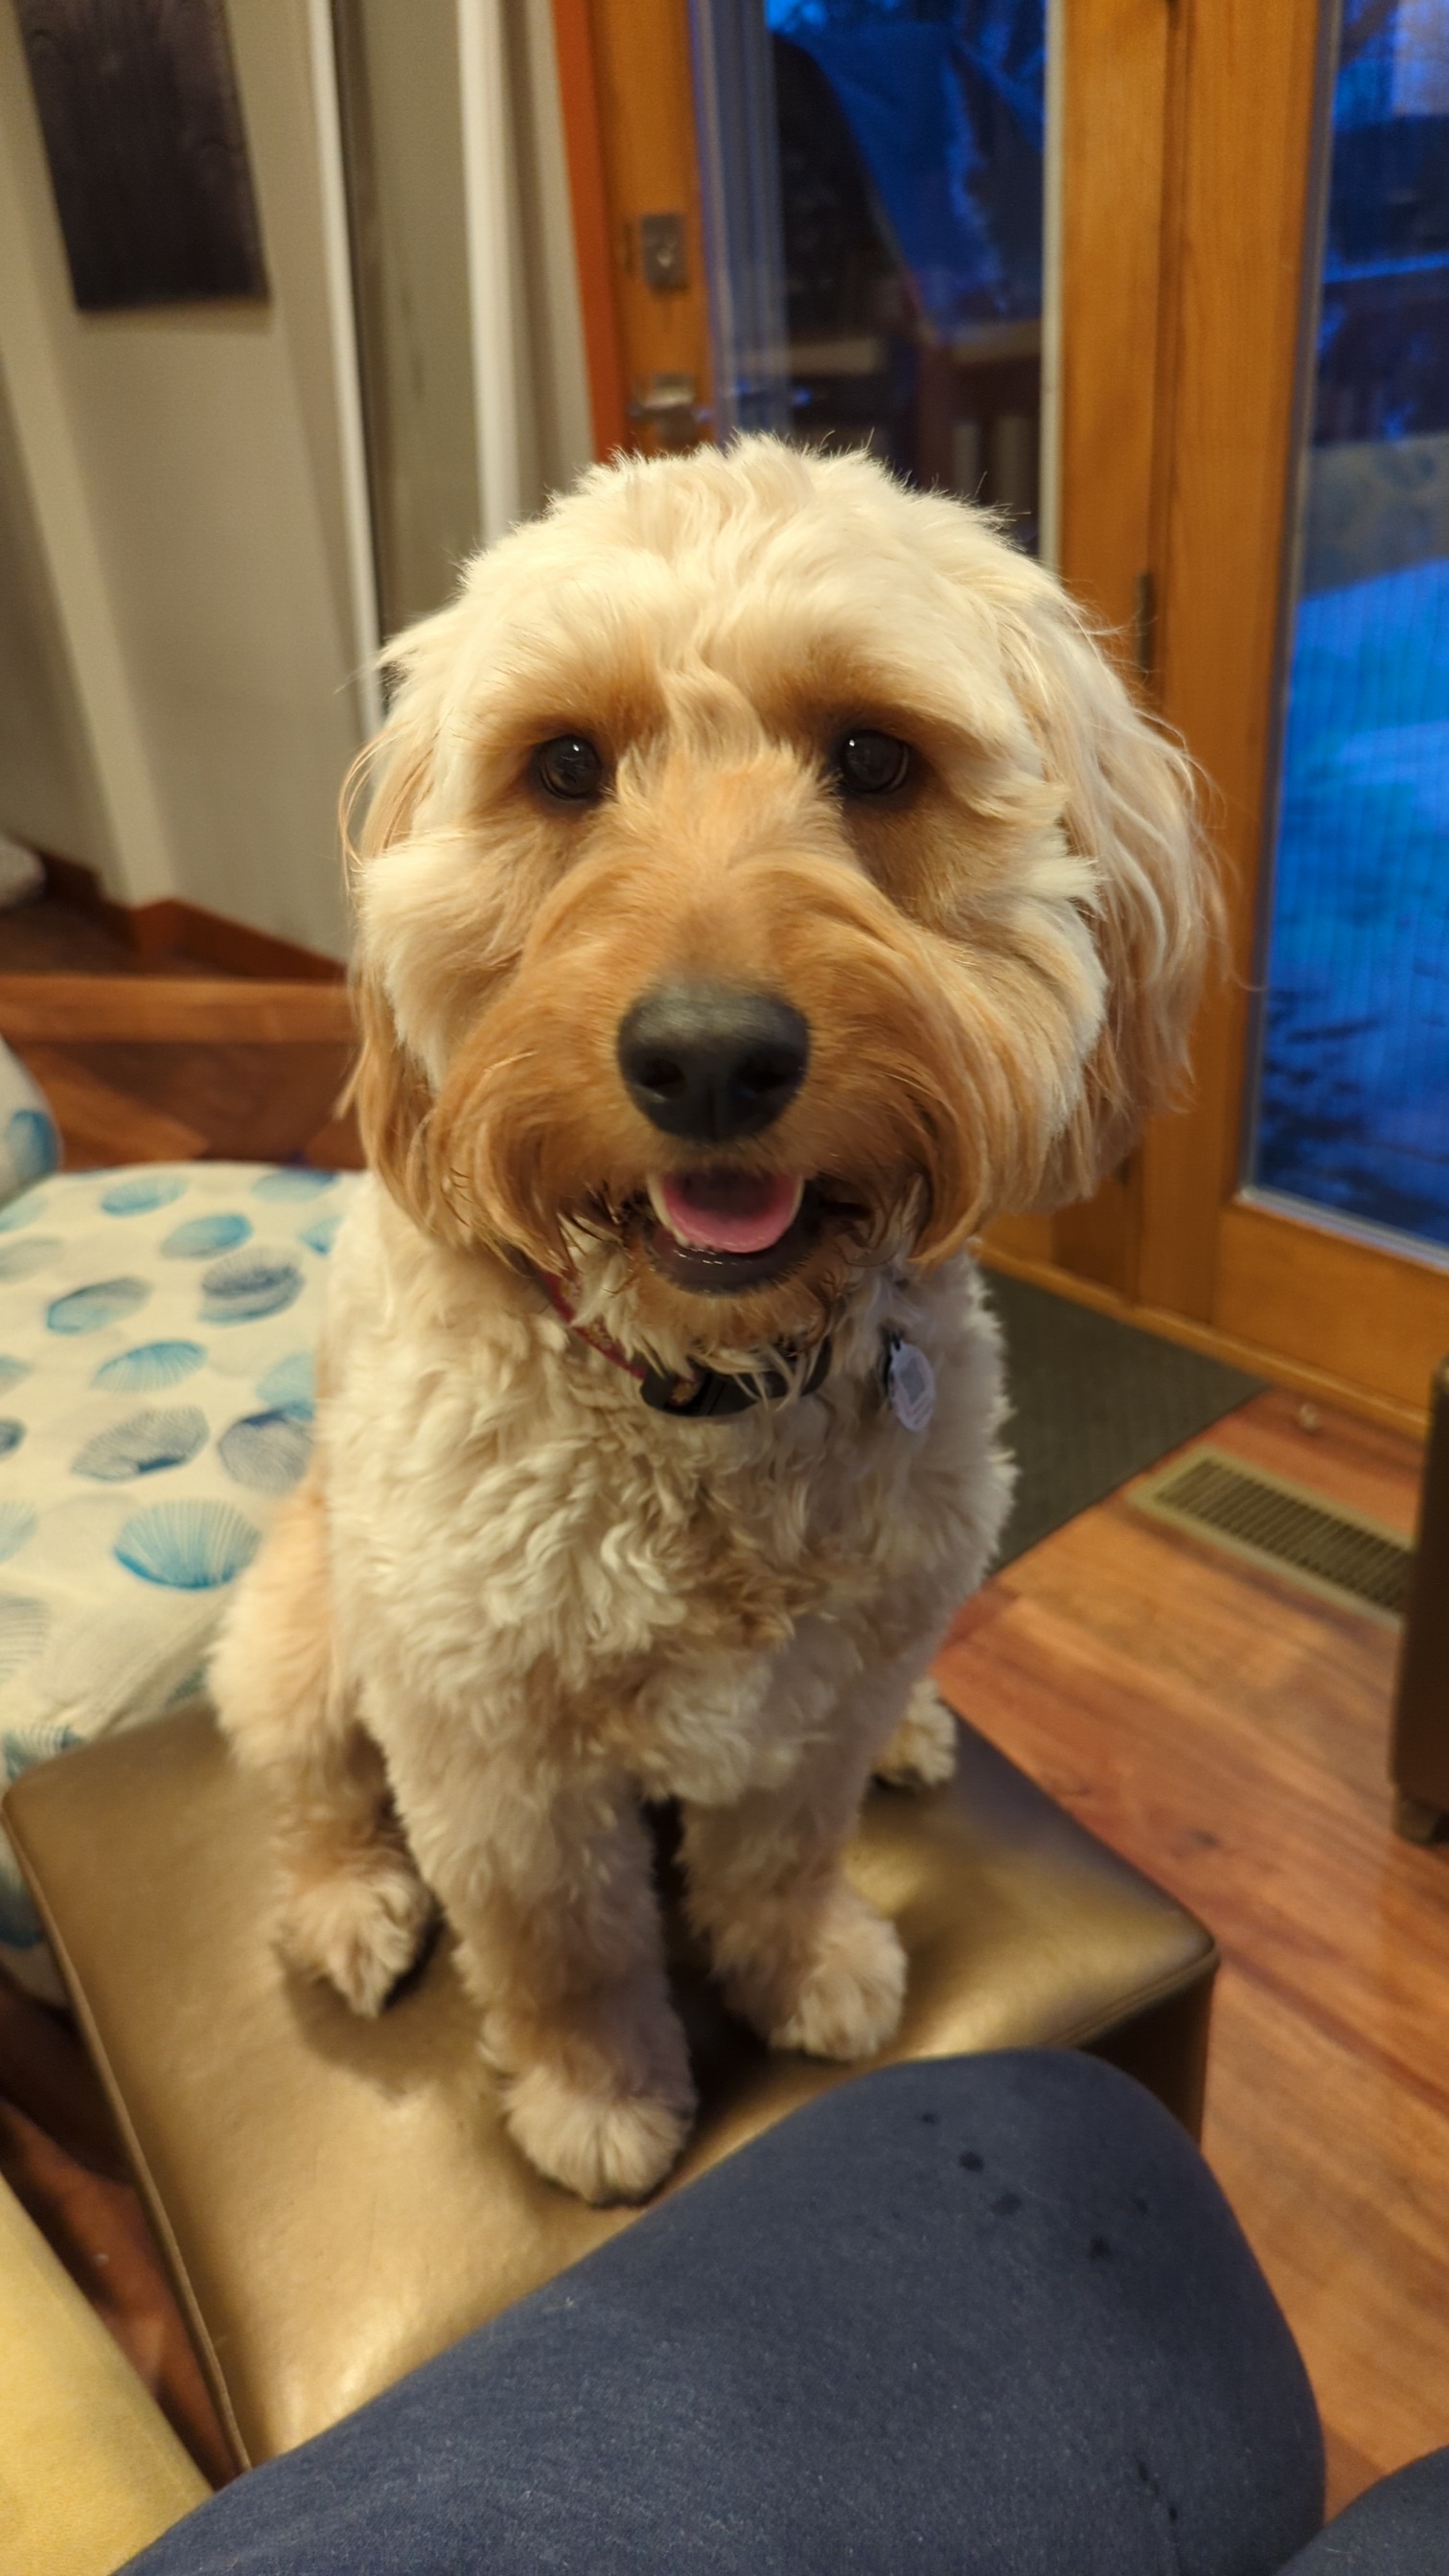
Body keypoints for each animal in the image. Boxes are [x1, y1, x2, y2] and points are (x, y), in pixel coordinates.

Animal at [211, 437, 1208, 2206]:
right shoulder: (492, 1756)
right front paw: (596, 2094)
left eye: (874, 755)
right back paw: (344, 1901)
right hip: (299, 1636)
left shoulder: (822, 1688)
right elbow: (566, 1947)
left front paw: (798, 1963)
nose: (709, 1058)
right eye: (562, 766)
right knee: (311, 1789)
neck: (702, 1387)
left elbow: (784, 1852)